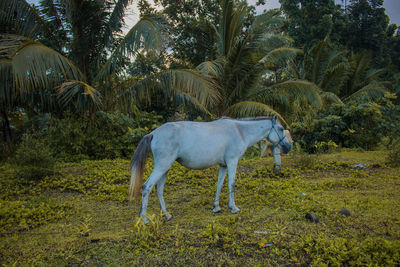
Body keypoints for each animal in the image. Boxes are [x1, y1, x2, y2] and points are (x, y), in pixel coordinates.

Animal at [130, 116, 290, 223]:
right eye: (281, 129)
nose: (288, 147)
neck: (240, 131)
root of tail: (154, 133)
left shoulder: (223, 165)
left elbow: (219, 184)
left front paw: (216, 207)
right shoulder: (232, 162)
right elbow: (231, 184)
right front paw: (233, 208)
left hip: (165, 168)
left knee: (159, 189)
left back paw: (166, 215)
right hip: (162, 166)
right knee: (147, 187)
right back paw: (144, 219)